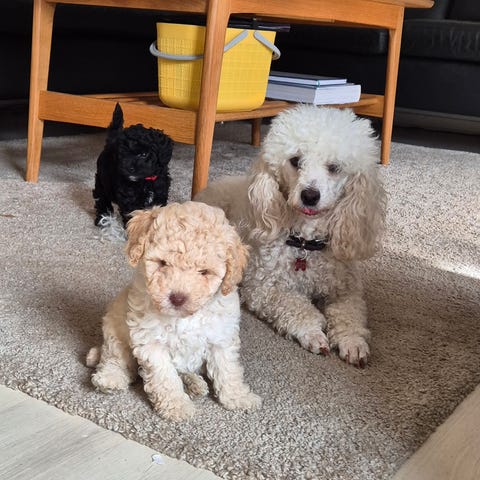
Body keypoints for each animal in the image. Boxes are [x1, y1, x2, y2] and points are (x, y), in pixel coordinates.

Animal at [86, 201, 261, 421]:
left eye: (204, 272)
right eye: (162, 263)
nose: (177, 298)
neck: (184, 318)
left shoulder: (220, 337)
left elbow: (228, 370)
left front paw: (238, 397)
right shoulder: (150, 342)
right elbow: (165, 378)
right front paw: (177, 406)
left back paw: (195, 384)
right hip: (114, 329)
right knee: (115, 359)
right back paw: (110, 378)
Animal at [195, 105, 386, 367]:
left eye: (334, 167)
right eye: (296, 161)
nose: (310, 195)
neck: (305, 243)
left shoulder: (346, 290)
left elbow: (350, 314)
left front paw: (353, 342)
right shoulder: (264, 287)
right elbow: (297, 306)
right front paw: (313, 333)